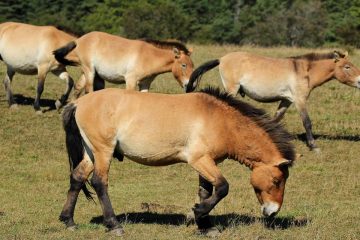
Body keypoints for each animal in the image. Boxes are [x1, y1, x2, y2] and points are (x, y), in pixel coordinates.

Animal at [52, 31, 194, 97]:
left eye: (193, 66)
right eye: (184, 65)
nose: (190, 86)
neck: (148, 56)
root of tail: (79, 40)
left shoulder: (145, 84)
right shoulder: (131, 81)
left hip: (87, 72)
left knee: (77, 89)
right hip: (90, 71)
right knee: (87, 90)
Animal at [59, 86, 296, 236]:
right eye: (277, 181)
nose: (273, 212)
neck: (220, 120)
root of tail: (78, 103)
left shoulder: (207, 163)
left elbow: (207, 192)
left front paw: (206, 226)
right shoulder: (199, 160)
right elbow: (222, 188)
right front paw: (198, 213)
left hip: (91, 153)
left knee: (77, 177)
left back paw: (68, 221)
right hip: (103, 151)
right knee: (99, 183)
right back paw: (114, 225)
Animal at [186, 50, 360, 152]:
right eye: (347, 67)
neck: (304, 71)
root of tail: (222, 59)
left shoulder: (287, 100)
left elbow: (276, 118)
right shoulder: (300, 100)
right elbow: (307, 122)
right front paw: (313, 146)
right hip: (231, 89)